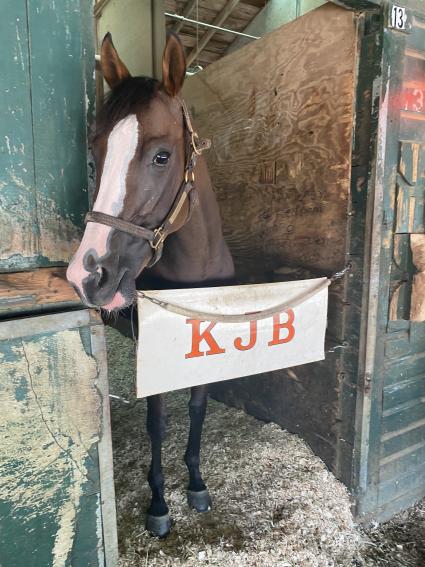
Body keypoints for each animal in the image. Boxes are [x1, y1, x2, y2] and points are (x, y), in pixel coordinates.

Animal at [68, 31, 237, 536]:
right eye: (96, 153)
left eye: (162, 156)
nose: (87, 274)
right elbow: (157, 421)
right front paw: (159, 503)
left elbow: (198, 407)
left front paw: (196, 484)